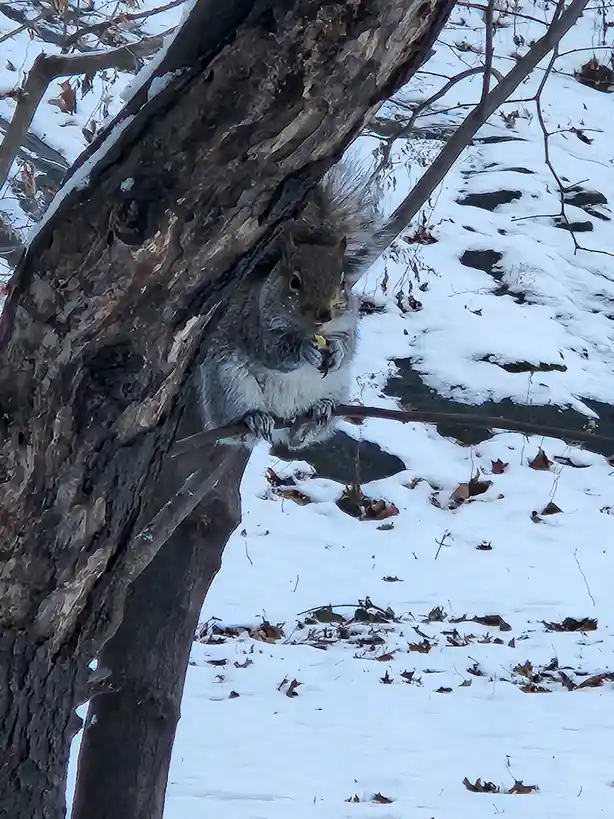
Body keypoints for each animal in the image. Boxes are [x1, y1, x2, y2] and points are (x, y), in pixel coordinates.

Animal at [198, 159, 378, 450]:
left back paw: (316, 416)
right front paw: (304, 350)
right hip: (228, 385)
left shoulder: (349, 323)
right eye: (294, 282)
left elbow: (349, 345)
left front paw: (337, 351)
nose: (324, 315)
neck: (309, 330)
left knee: (304, 434)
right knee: (238, 427)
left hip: (337, 386)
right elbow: (273, 352)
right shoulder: (254, 321)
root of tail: (285, 418)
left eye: (343, 282)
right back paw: (255, 419)